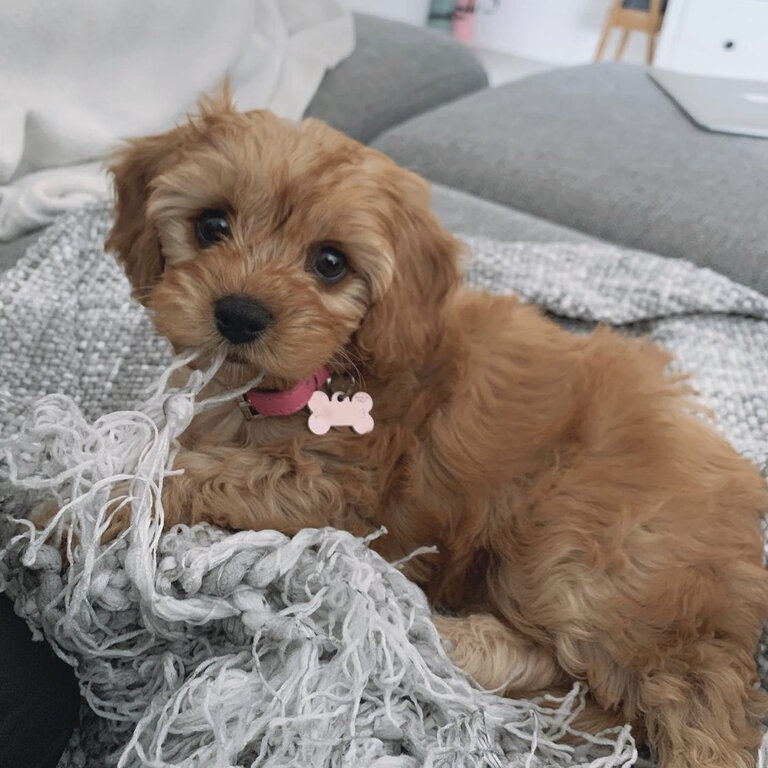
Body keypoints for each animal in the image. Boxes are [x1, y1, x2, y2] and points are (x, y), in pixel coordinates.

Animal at [106, 97, 768, 768]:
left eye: (330, 263)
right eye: (211, 224)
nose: (240, 315)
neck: (315, 375)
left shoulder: (337, 488)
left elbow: (188, 473)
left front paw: (98, 502)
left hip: (580, 547)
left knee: (664, 694)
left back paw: (430, 634)